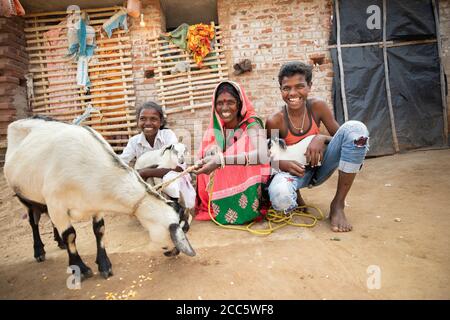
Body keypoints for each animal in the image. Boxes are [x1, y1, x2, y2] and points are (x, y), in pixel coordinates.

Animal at [3, 117, 196, 280]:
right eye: (182, 230)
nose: (173, 253)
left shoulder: (95, 203)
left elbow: (99, 230)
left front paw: (104, 265)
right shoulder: (57, 203)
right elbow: (70, 235)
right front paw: (80, 268)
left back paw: (59, 242)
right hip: (24, 195)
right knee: (33, 221)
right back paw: (39, 251)